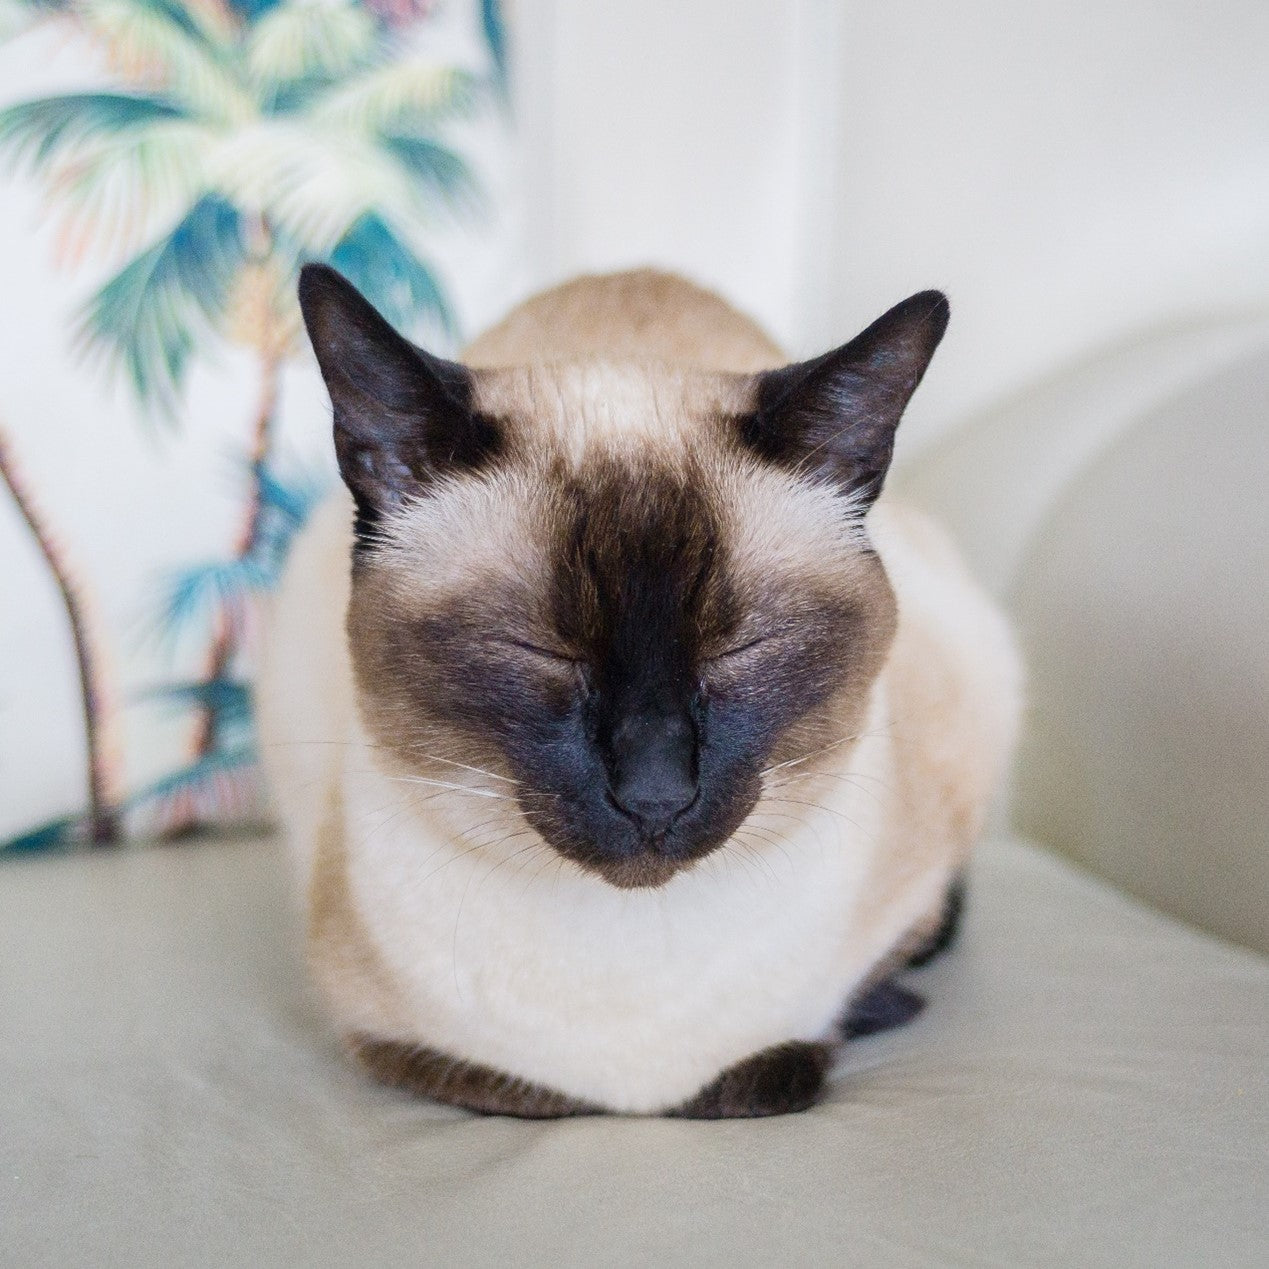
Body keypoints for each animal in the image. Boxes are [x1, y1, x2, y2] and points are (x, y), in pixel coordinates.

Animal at [260, 262, 1020, 1116]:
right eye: (542, 650)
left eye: (738, 649)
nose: (654, 793)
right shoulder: (393, 1042)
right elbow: (517, 1084)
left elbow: (787, 1057)